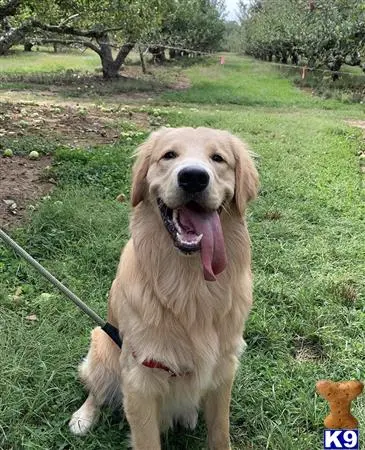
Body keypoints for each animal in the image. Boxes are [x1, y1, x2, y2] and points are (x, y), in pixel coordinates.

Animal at [67, 125, 256, 448]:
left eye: (218, 158)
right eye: (169, 155)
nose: (193, 177)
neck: (190, 284)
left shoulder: (223, 369)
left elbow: (220, 432)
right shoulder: (140, 377)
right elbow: (146, 439)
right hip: (102, 343)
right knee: (97, 390)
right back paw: (83, 417)